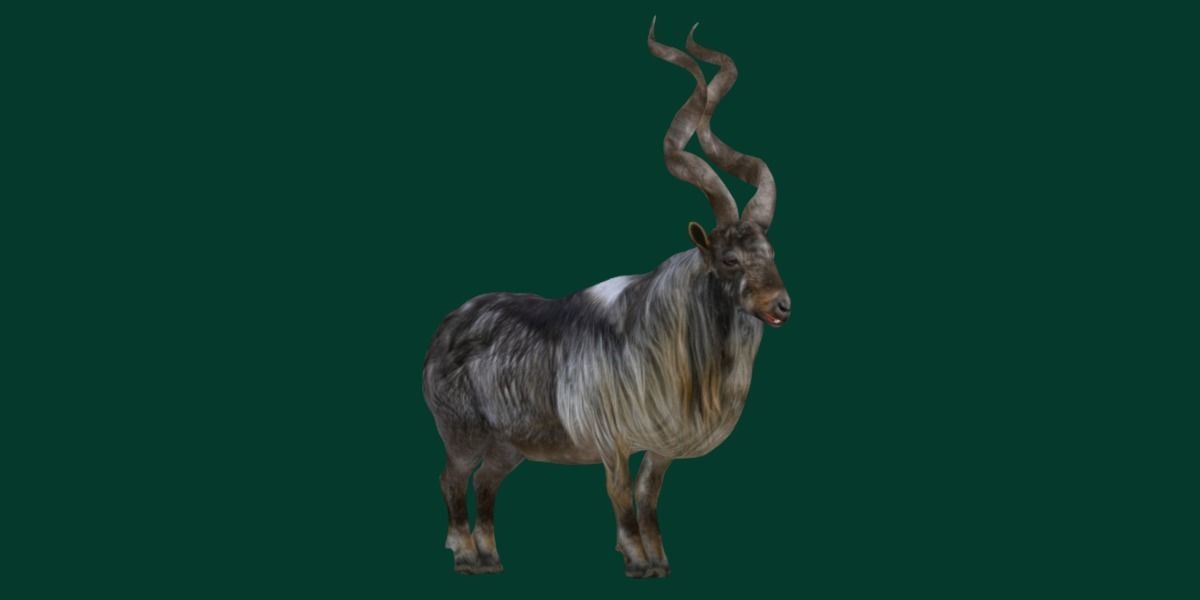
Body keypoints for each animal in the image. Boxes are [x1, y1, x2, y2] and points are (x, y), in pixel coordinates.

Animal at [422, 20, 790, 578]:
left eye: (769, 252)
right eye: (729, 259)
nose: (781, 304)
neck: (656, 332)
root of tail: (444, 331)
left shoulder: (659, 447)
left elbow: (648, 494)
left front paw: (659, 561)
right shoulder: (610, 438)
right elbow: (620, 494)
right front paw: (637, 561)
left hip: (509, 445)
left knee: (486, 480)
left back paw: (491, 557)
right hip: (461, 431)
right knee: (452, 477)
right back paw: (466, 555)